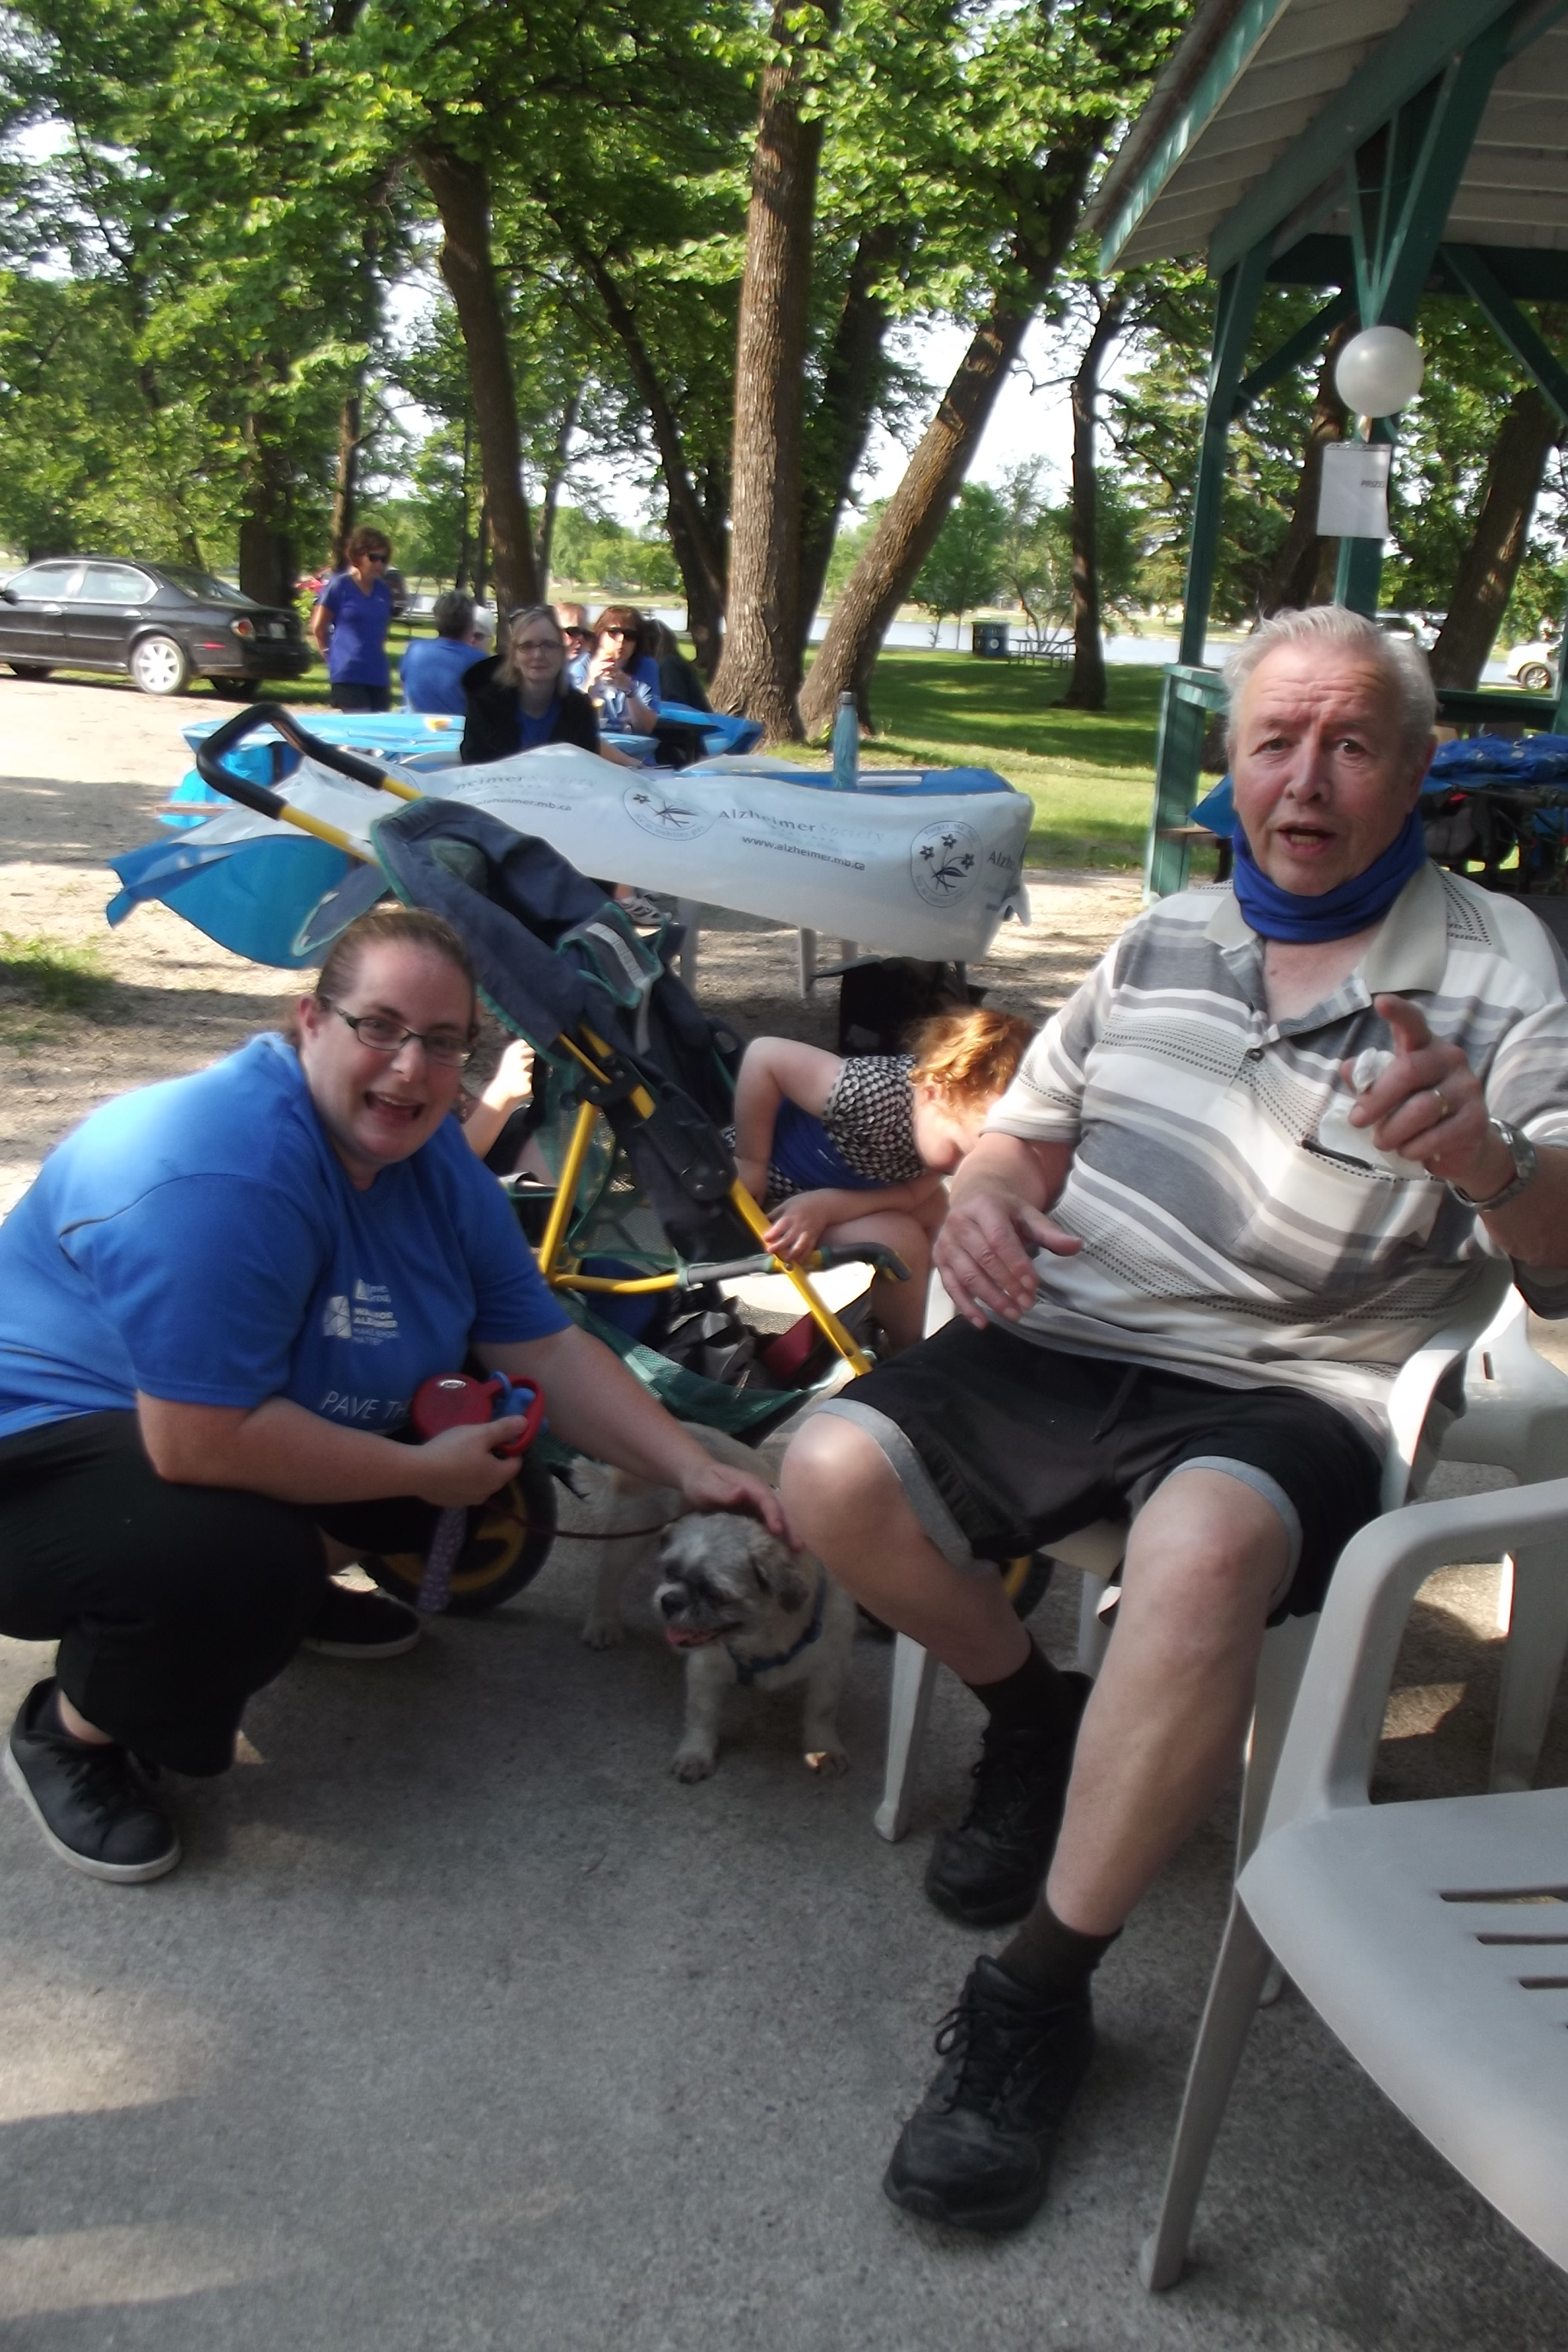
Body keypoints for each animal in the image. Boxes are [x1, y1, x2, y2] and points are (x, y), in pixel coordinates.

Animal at [580, 1417, 856, 1780]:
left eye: (714, 1593)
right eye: (669, 1572)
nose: (669, 1601)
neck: (764, 1640)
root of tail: (682, 1424)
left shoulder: (830, 1665)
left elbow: (822, 1711)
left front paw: (822, 1748)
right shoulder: (706, 1670)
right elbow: (702, 1714)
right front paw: (696, 1752)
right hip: (630, 1529)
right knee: (608, 1580)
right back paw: (602, 1623)